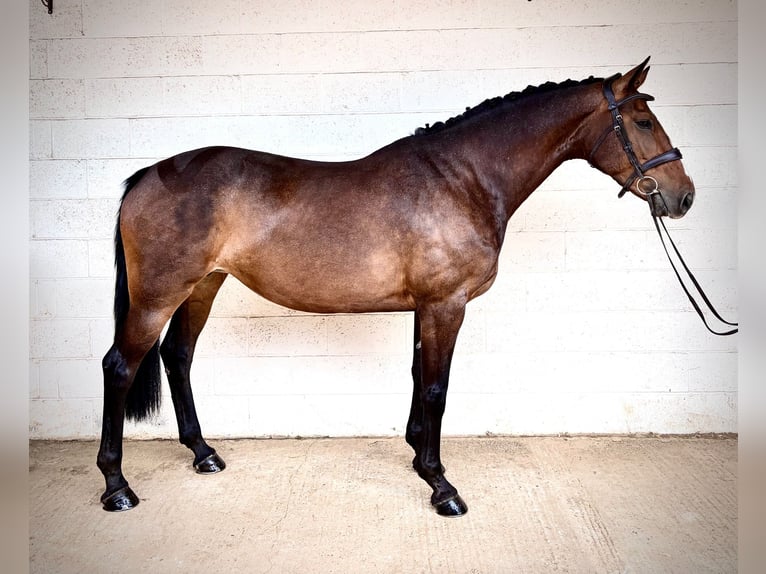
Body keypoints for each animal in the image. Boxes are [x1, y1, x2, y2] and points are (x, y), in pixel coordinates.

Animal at [97, 58, 694, 516]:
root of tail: (145, 176)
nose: (683, 195)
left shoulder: (424, 307)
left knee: (177, 356)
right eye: (643, 121)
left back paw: (204, 454)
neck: (461, 179)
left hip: (203, 286)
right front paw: (441, 485)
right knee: (120, 366)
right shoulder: (446, 305)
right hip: (157, 296)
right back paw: (117, 487)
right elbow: (436, 388)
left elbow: (416, 376)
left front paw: (416, 458)